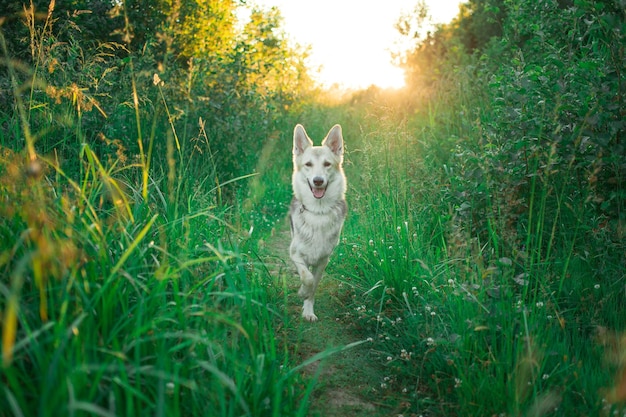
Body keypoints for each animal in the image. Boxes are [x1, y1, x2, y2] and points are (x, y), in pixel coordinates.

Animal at [288, 123, 346, 322]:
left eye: (327, 164)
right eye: (308, 165)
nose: (318, 180)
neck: (318, 212)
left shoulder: (322, 261)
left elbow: (313, 284)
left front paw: (308, 310)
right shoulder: (295, 254)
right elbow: (307, 278)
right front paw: (302, 292)